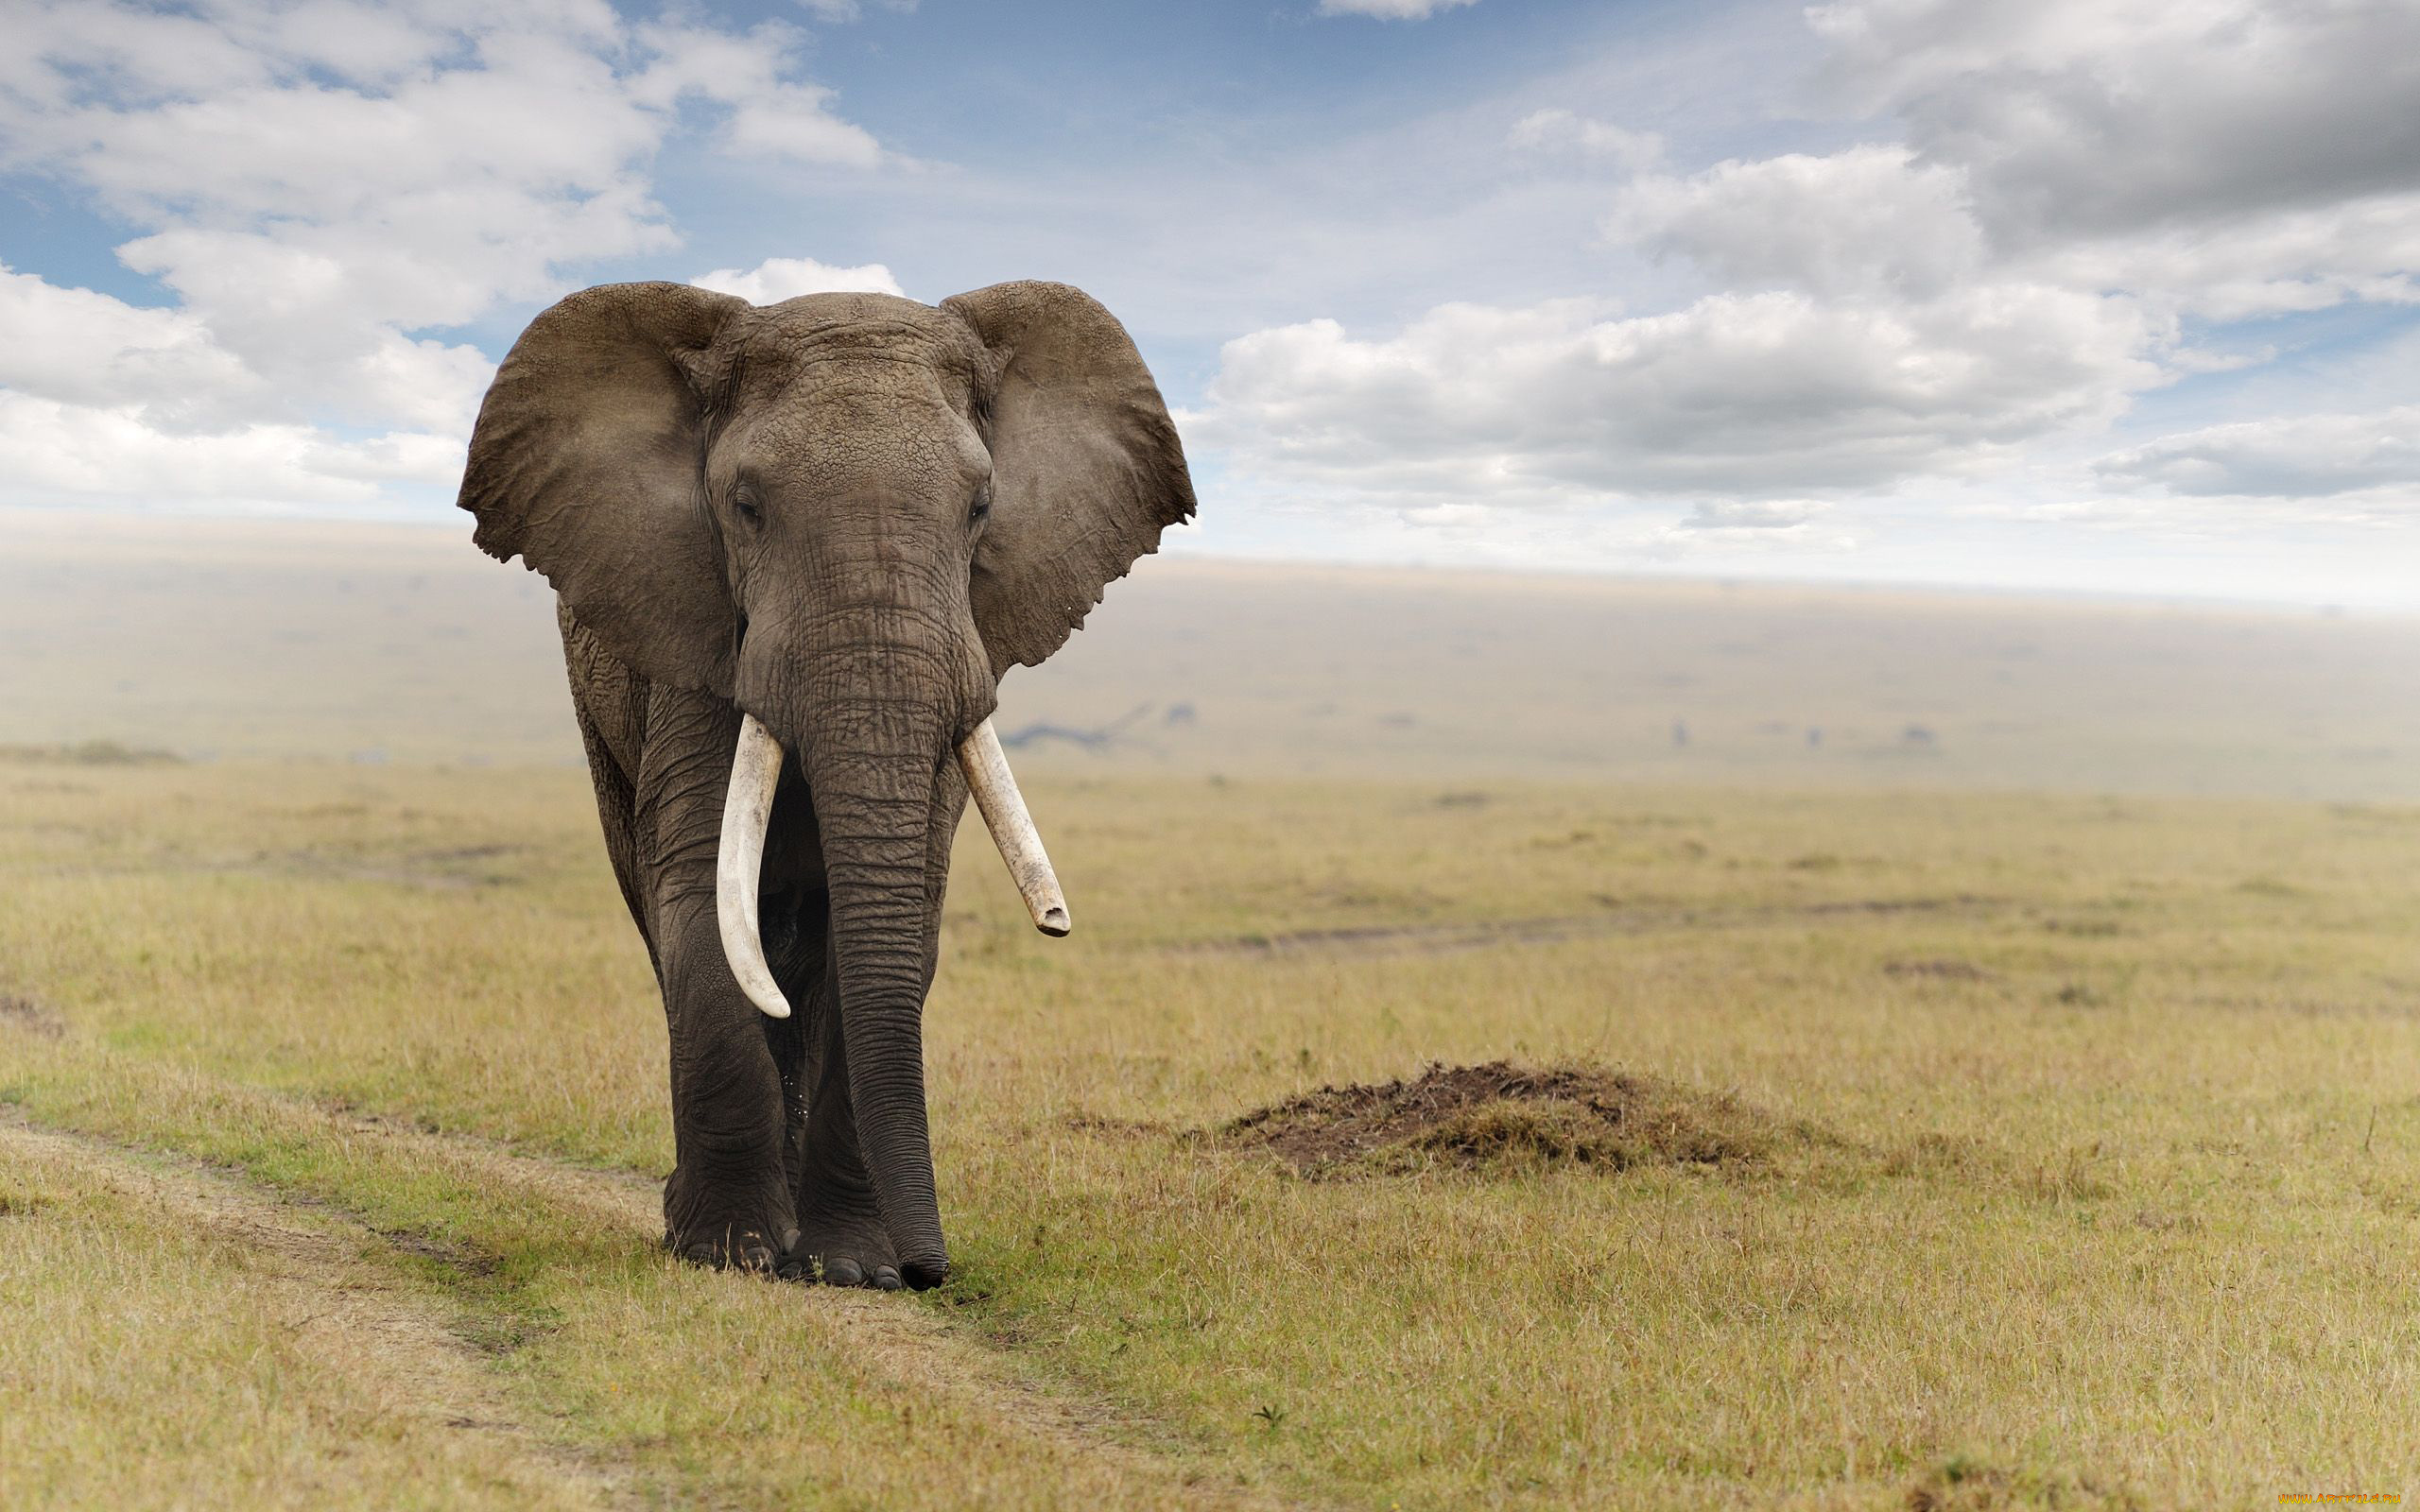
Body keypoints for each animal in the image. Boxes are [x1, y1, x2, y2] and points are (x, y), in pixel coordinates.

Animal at [456, 280, 1195, 1289]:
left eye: (981, 507)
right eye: (745, 505)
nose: (933, 1273)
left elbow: (896, 919)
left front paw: (850, 1269)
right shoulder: (695, 640)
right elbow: (702, 899)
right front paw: (727, 1254)